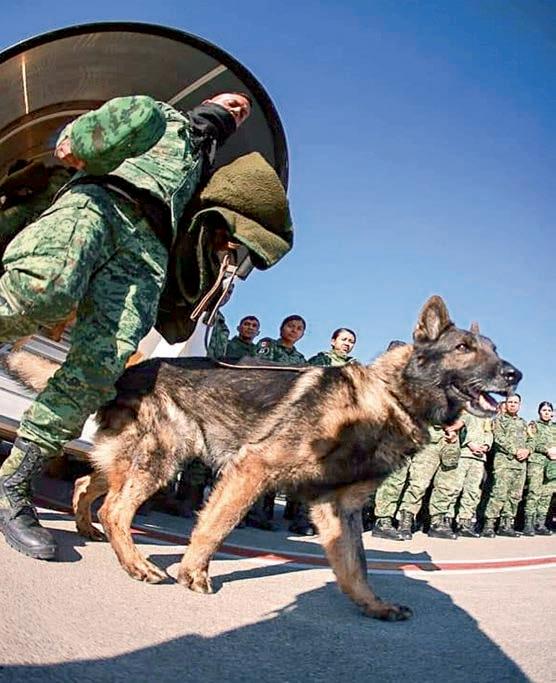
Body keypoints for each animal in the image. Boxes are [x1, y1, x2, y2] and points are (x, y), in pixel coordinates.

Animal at [5, 296, 521, 620]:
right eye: (463, 348)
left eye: (494, 351)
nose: (515, 374)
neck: (389, 396)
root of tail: (130, 370)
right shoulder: (253, 469)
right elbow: (216, 526)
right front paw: (193, 572)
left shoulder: (338, 510)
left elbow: (355, 566)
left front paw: (373, 605)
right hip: (167, 455)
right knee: (116, 507)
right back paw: (135, 563)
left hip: (141, 458)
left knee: (87, 484)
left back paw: (88, 529)